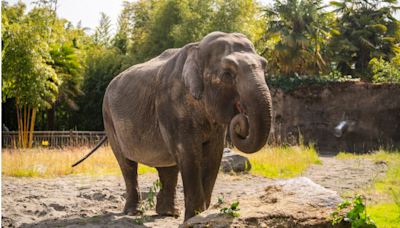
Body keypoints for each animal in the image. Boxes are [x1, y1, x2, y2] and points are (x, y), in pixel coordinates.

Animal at [74, 31, 274, 220]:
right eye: (228, 74)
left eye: (265, 66)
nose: (241, 119)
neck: (197, 49)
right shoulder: (170, 106)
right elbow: (188, 153)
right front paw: (194, 217)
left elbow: (213, 156)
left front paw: (200, 216)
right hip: (109, 118)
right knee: (127, 164)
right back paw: (134, 212)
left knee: (168, 166)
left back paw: (169, 212)